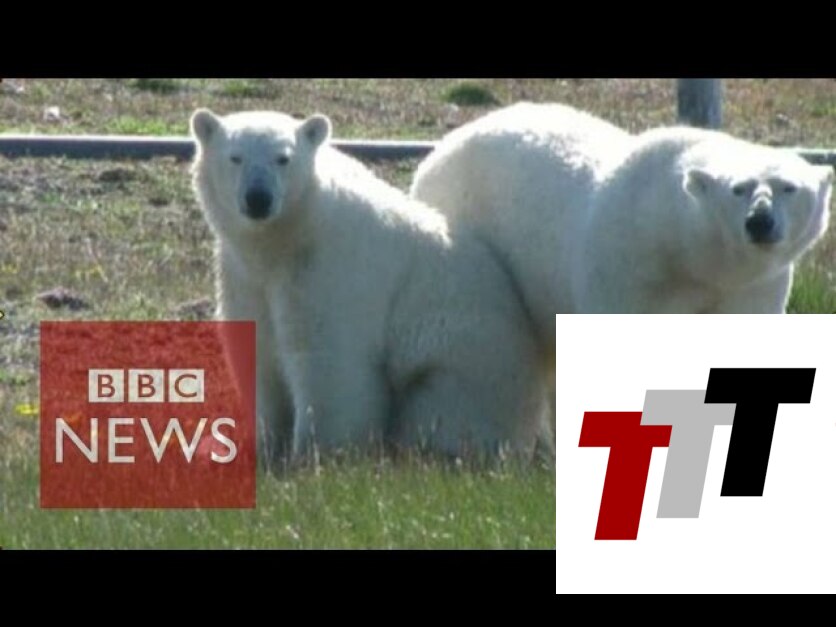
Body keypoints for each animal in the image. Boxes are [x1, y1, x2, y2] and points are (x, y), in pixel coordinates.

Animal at [190, 108, 552, 467]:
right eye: (235, 157)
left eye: (283, 158)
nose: (258, 199)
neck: (286, 239)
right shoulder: (244, 275)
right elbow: (257, 349)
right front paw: (259, 447)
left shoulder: (327, 270)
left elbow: (328, 361)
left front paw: (313, 454)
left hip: (466, 367)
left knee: (442, 414)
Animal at [411, 102, 833, 323]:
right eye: (739, 188)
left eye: (788, 187)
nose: (760, 222)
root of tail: (442, 145)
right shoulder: (626, 270)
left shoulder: (752, 287)